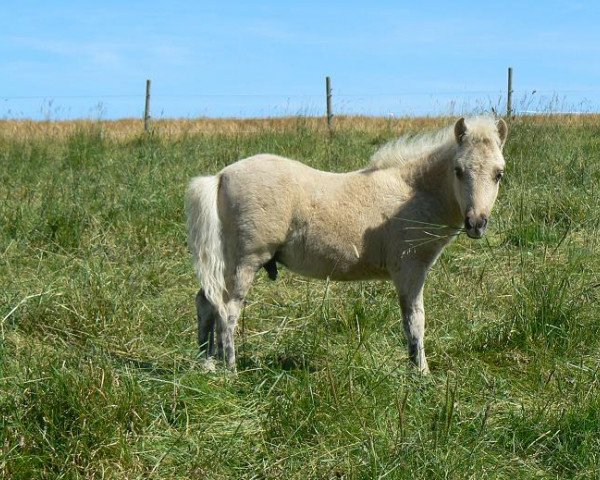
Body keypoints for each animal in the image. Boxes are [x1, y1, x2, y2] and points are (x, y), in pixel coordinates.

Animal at [186, 115, 506, 372]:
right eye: (458, 170)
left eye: (499, 174)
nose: (476, 223)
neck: (413, 193)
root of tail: (221, 176)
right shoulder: (410, 270)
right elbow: (415, 322)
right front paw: (422, 374)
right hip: (245, 262)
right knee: (227, 311)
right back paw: (230, 369)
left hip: (225, 263)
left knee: (207, 303)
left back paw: (207, 364)